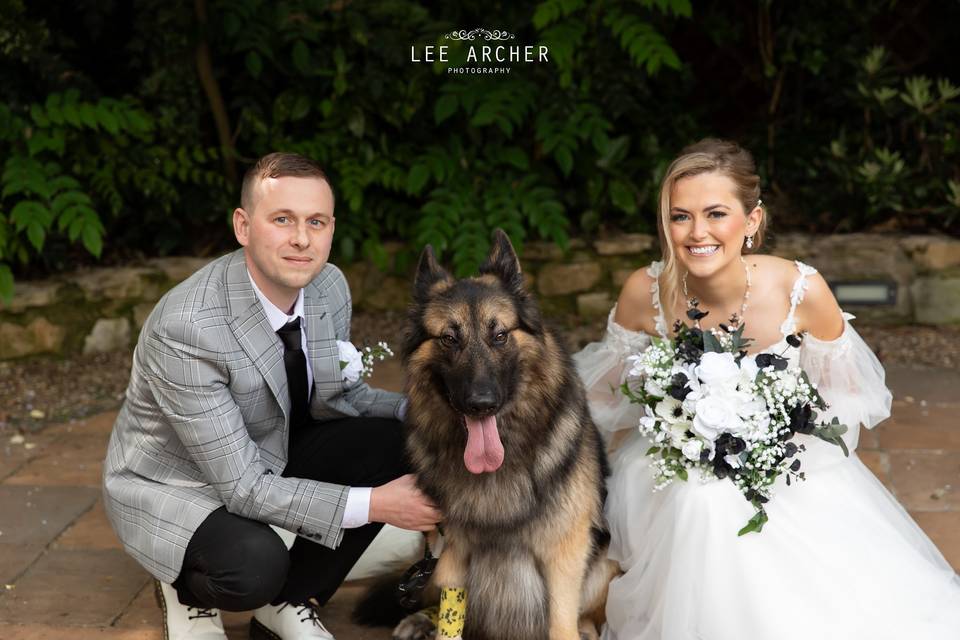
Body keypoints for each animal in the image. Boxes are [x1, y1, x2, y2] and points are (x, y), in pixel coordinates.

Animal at [360, 231, 616, 640]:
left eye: (499, 336)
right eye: (449, 339)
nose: (481, 404)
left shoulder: (564, 558)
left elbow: (562, 623)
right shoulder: (453, 557)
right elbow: (450, 621)